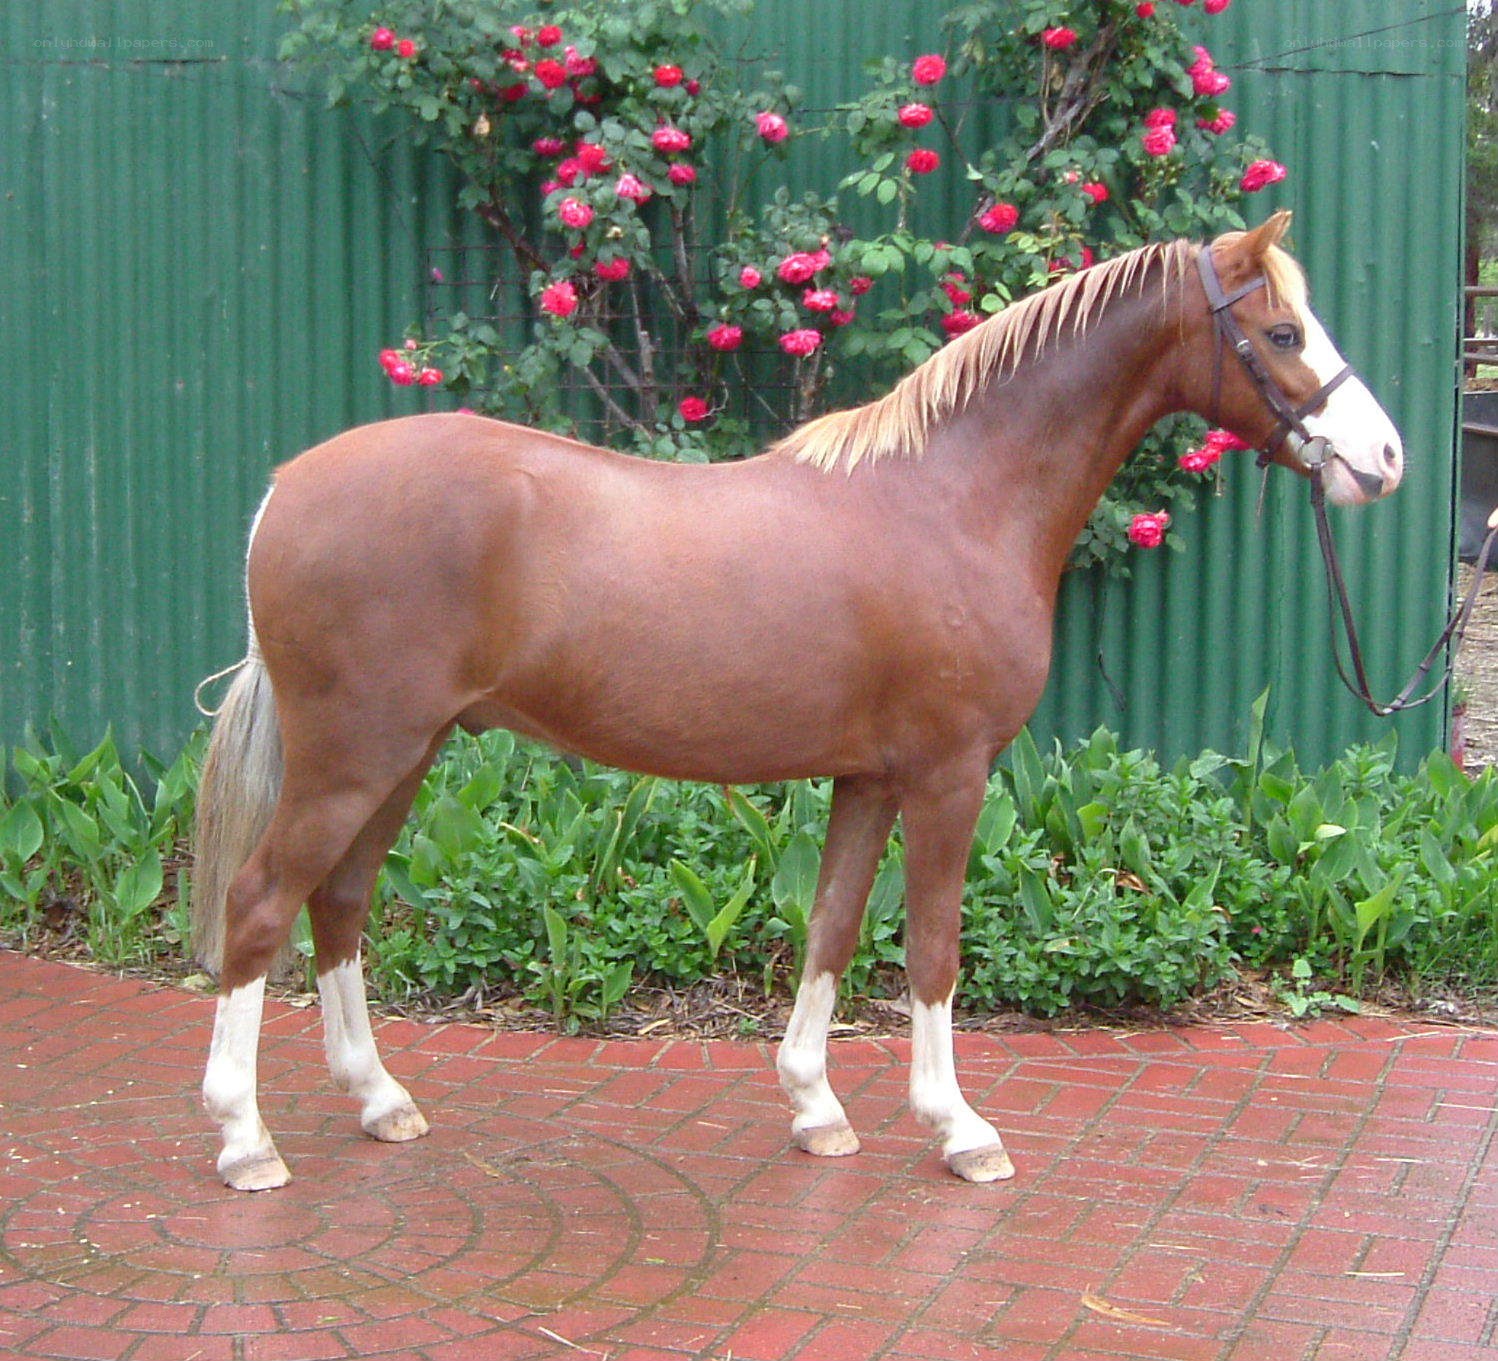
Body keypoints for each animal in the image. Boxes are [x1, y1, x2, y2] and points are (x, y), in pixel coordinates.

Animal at [193, 211, 1403, 1191]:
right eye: (1282, 333)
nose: (1384, 457)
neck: (954, 498)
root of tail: (283, 491)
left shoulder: (868, 776)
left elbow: (831, 927)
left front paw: (816, 1107)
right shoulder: (949, 775)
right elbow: (932, 949)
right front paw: (960, 1128)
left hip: (402, 755)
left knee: (339, 902)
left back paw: (379, 1098)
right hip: (354, 756)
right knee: (259, 905)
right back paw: (246, 1137)